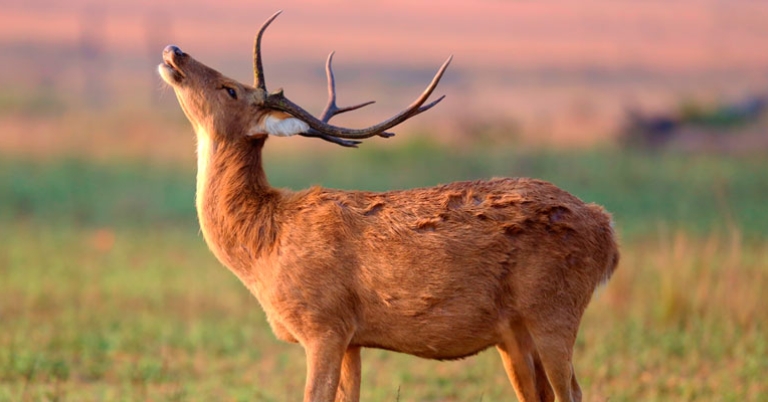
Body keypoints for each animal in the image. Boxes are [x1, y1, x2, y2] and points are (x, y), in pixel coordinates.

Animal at [158, 11, 619, 402]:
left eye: (230, 89)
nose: (174, 51)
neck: (263, 245)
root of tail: (607, 232)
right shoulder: (352, 338)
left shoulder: (324, 324)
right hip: (514, 334)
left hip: (554, 308)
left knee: (572, 392)